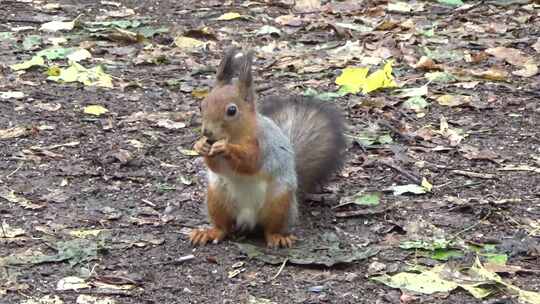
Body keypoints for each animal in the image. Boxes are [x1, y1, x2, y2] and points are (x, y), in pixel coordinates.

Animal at [190, 47, 346, 247]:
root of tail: (247, 220)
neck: (237, 134)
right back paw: (209, 233)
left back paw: (278, 237)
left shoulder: (262, 145)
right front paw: (200, 145)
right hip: (217, 199)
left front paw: (225, 147)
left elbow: (250, 162)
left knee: (270, 228)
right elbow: (216, 167)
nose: (207, 132)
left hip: (279, 203)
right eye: (202, 106)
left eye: (232, 110)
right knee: (223, 227)